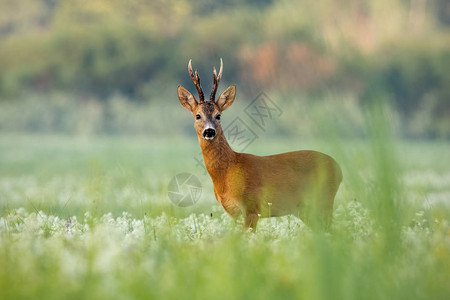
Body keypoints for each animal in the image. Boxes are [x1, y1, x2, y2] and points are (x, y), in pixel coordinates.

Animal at [178, 59, 342, 232]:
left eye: (218, 115)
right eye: (197, 115)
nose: (209, 131)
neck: (227, 172)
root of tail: (339, 170)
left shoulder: (251, 207)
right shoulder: (233, 213)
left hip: (324, 201)